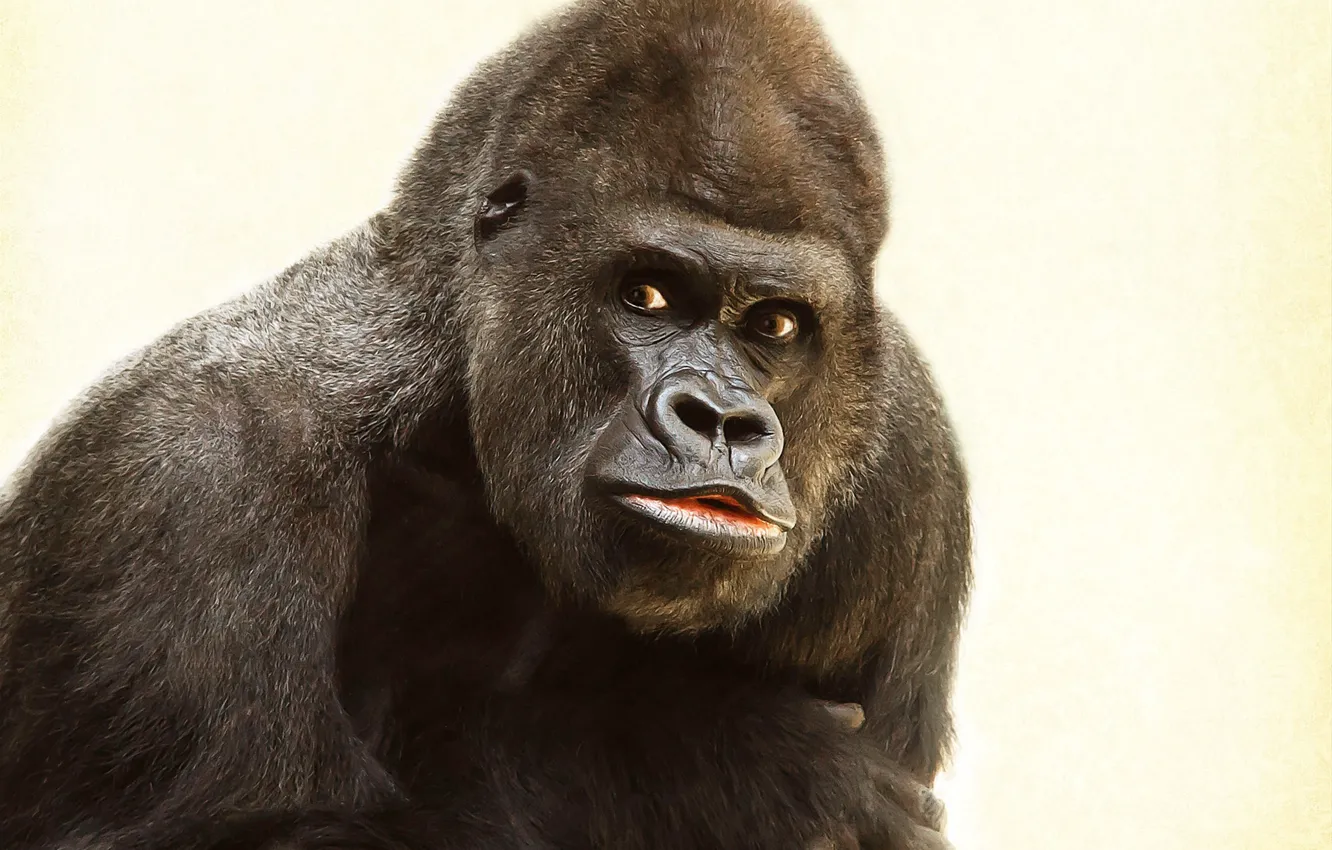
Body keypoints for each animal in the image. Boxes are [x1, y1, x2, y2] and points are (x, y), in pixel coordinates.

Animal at [0, 0, 970, 848]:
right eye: (647, 295)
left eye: (775, 325)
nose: (723, 420)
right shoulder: (191, 473)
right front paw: (720, 767)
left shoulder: (908, 466)